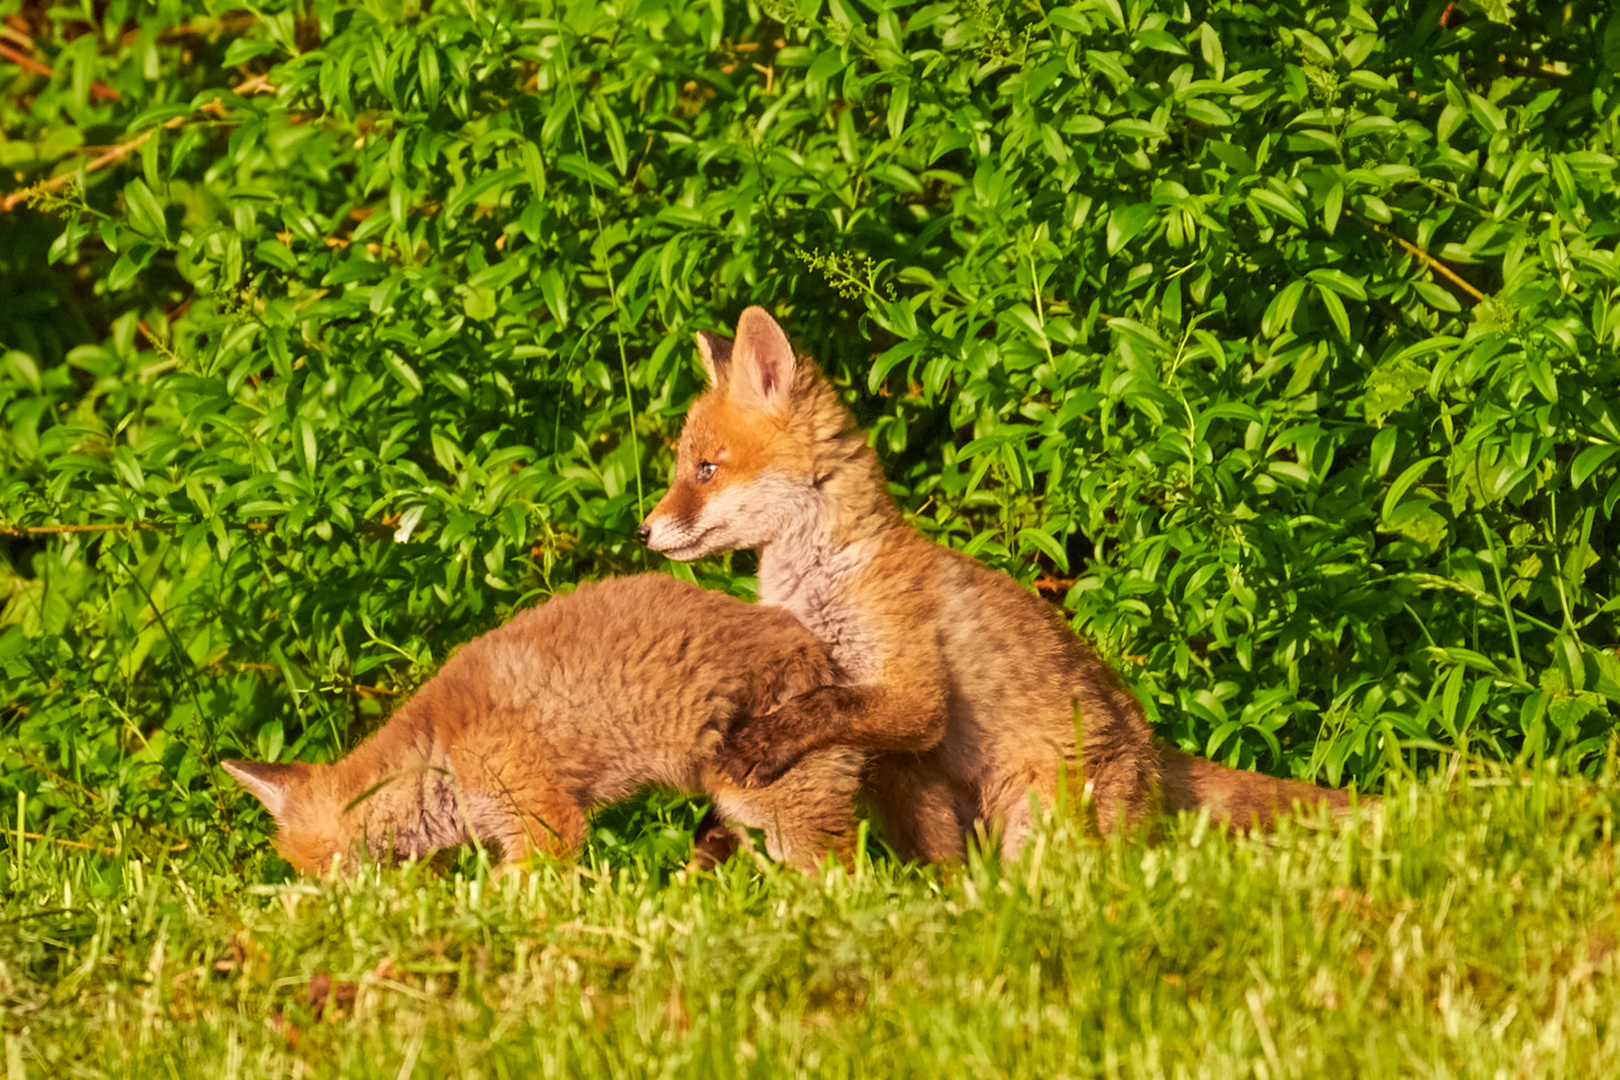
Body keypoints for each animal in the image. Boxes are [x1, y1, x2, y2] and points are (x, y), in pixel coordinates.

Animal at [638, 306, 1360, 861]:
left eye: (705, 470)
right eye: (686, 469)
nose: (644, 531)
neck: (825, 580)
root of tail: (1155, 753)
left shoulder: (914, 695)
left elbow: (823, 707)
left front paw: (760, 747)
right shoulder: (889, 736)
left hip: (1041, 819)